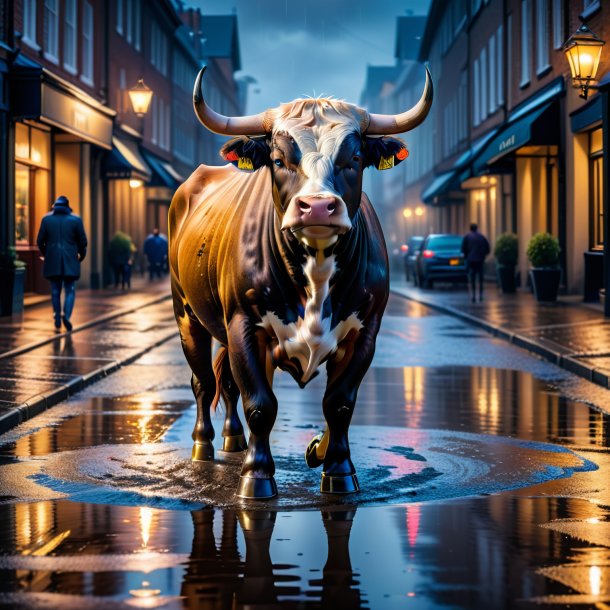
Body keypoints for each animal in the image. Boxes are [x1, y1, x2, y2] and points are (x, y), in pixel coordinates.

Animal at [169, 66, 430, 496]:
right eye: (278, 159)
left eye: (354, 158)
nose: (318, 207)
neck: (315, 270)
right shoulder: (244, 325)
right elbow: (260, 404)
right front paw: (257, 478)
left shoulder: (365, 333)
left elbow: (339, 403)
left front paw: (334, 466)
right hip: (187, 313)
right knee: (204, 381)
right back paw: (204, 445)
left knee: (227, 384)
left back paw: (233, 438)